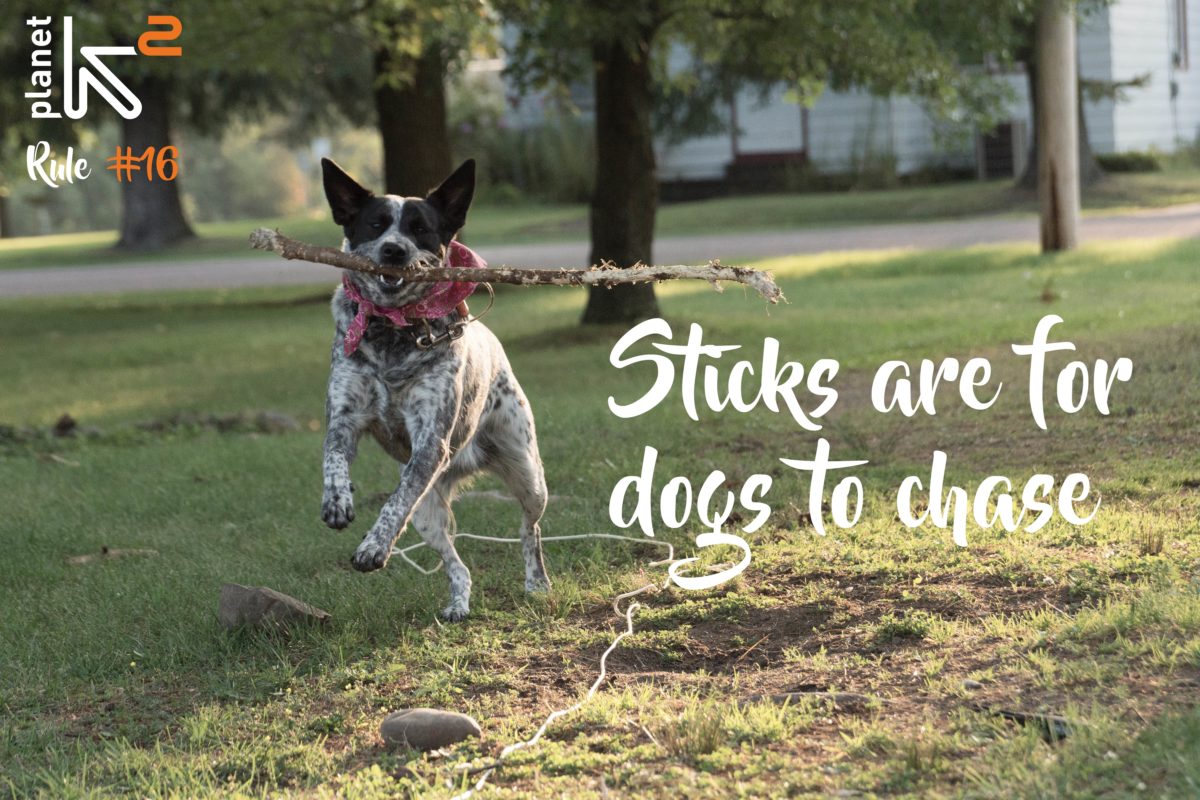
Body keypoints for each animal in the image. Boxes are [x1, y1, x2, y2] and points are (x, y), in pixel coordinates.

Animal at [314, 155, 549, 618]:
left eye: (420, 228)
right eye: (375, 225)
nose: (394, 250)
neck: (393, 331)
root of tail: (464, 462)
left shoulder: (429, 441)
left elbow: (395, 502)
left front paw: (372, 548)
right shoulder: (344, 417)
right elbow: (333, 457)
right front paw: (338, 501)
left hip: (528, 476)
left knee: (529, 531)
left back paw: (537, 584)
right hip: (428, 515)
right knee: (457, 564)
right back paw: (459, 603)